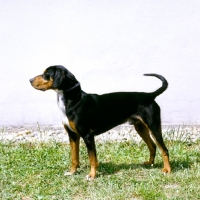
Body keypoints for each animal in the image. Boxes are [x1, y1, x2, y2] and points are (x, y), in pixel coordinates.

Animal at [29, 65, 170, 180]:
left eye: (46, 74)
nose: (30, 80)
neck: (74, 100)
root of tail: (150, 95)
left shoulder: (87, 135)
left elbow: (92, 158)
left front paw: (92, 175)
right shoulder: (73, 135)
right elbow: (74, 158)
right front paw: (72, 172)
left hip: (154, 126)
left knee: (164, 149)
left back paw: (167, 170)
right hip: (140, 127)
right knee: (153, 146)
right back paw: (150, 163)